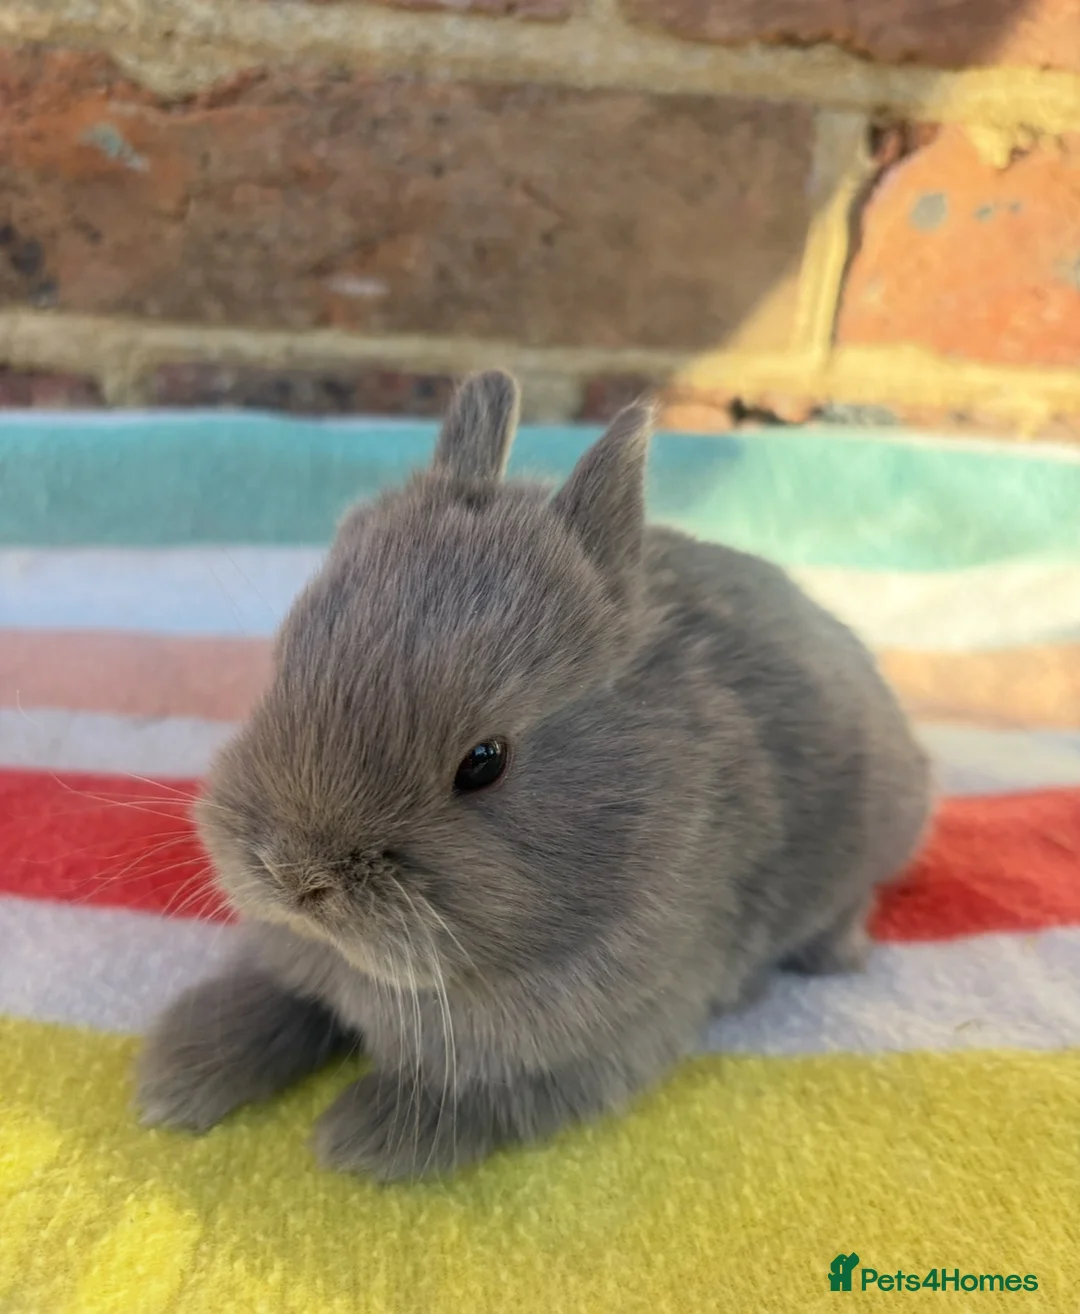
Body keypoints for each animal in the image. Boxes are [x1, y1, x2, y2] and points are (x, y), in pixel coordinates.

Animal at [136, 370, 932, 1181]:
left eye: (484, 761)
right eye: (283, 668)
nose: (296, 878)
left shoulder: (600, 1044)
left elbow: (484, 1096)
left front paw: (361, 1140)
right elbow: (275, 1004)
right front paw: (178, 1074)